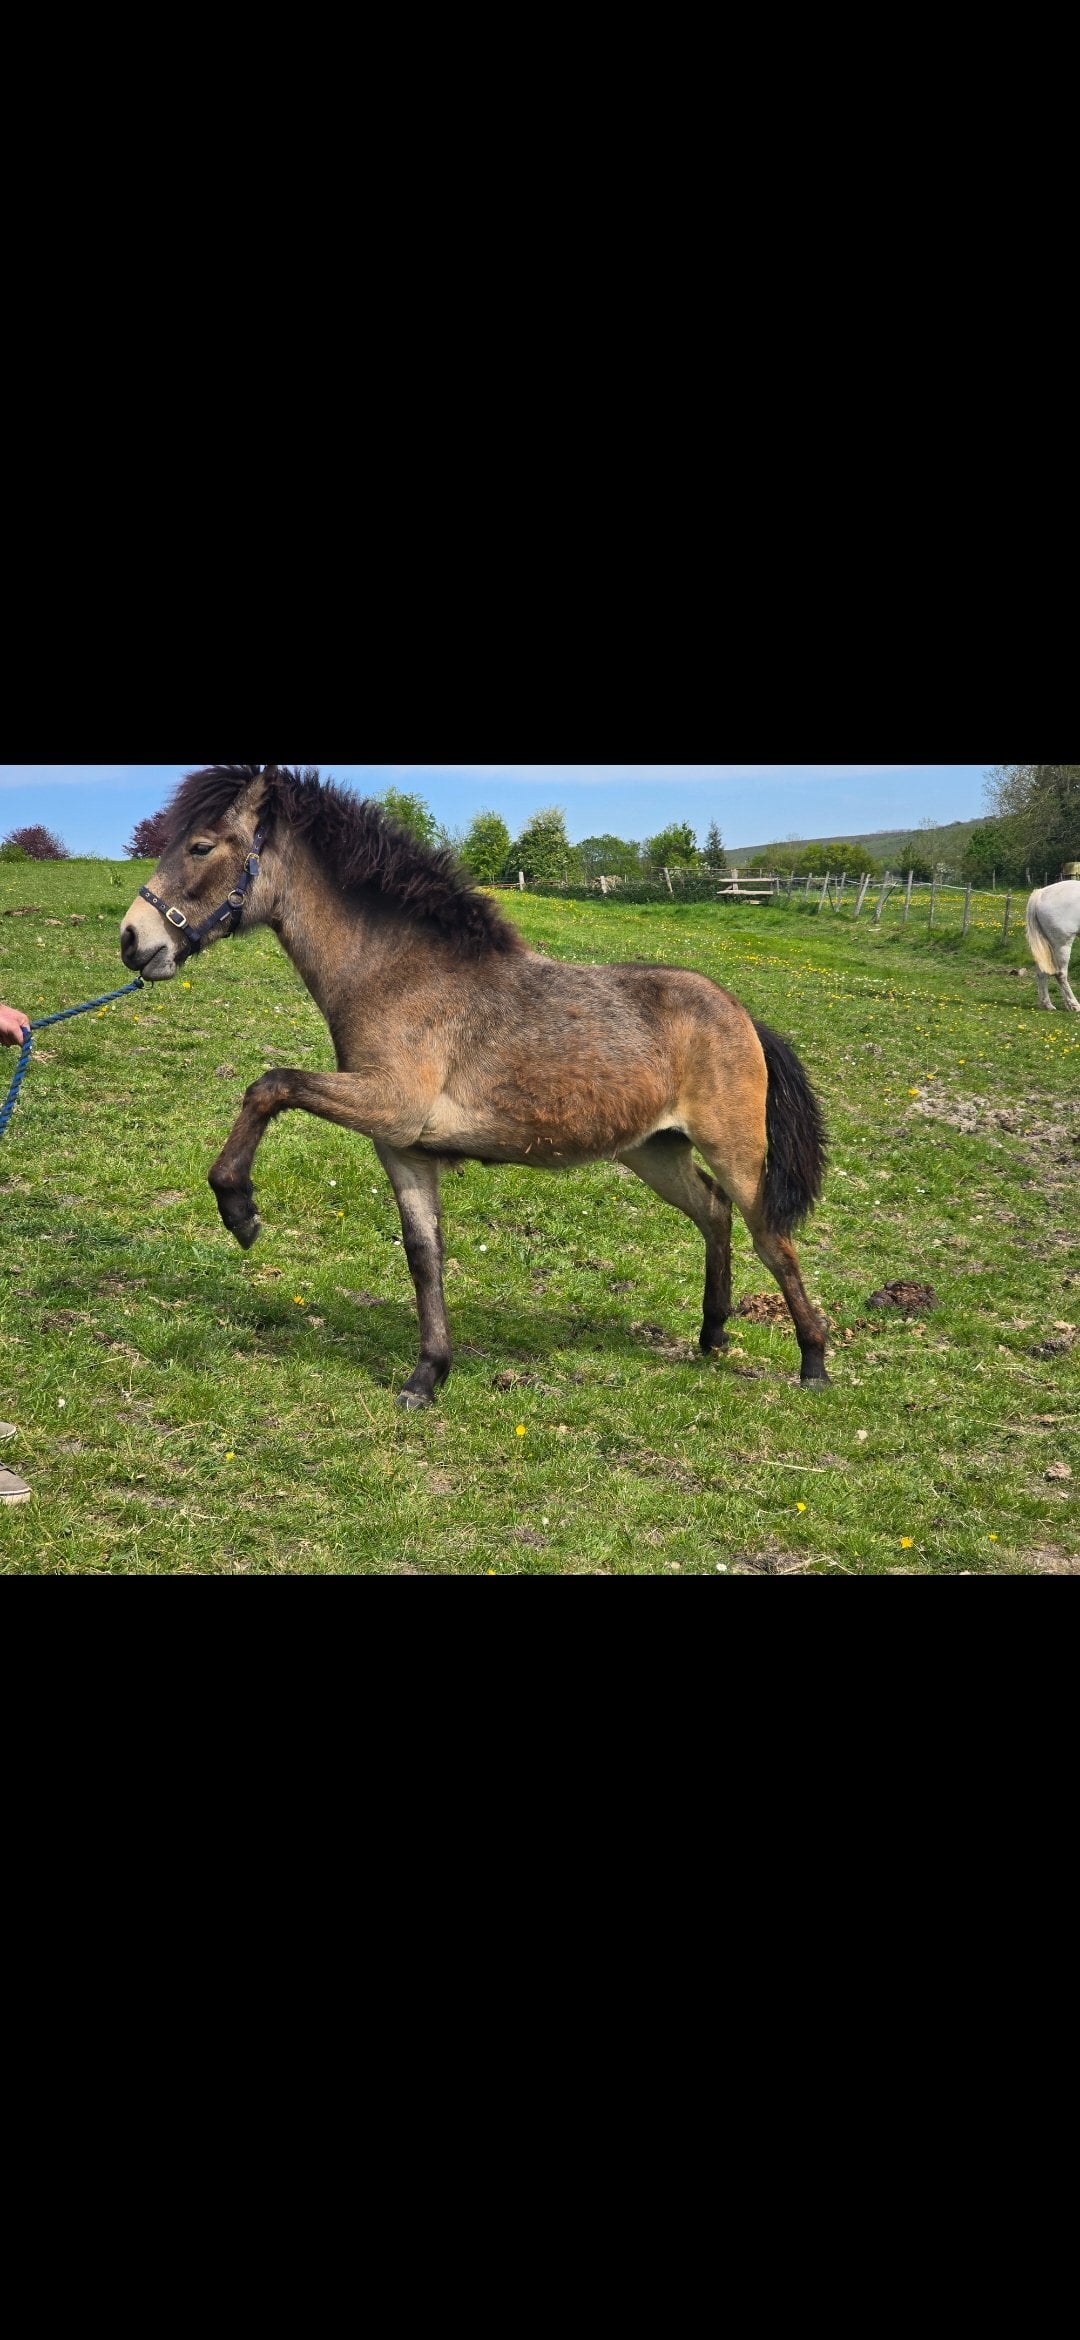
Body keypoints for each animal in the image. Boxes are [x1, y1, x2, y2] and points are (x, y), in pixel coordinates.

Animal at [120, 765, 829, 1407]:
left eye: (201, 847)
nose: (133, 940)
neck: (399, 974)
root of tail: (742, 1015)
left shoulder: (389, 1105)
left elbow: (268, 1085)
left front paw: (239, 1211)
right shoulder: (401, 1146)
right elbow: (423, 1255)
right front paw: (427, 1376)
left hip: (735, 1150)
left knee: (772, 1238)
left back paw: (814, 1363)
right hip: (653, 1150)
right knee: (713, 1212)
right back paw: (712, 1335)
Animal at [1025, 881, 1080, 1011]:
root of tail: (1041, 893)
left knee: (1042, 972)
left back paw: (1047, 1004)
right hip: (1062, 945)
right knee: (1061, 974)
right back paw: (1074, 1004)